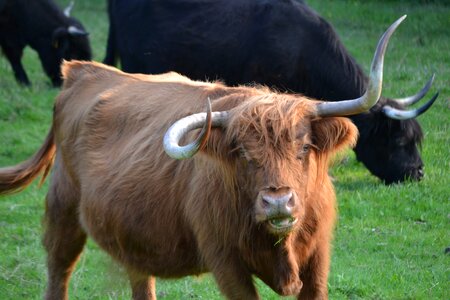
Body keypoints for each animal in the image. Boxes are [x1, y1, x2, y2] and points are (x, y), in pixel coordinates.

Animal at [0, 18, 418, 298]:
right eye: (244, 155)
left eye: (303, 149)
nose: (278, 202)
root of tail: (81, 72)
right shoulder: (226, 261)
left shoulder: (318, 259)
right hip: (63, 208)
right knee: (59, 269)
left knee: (139, 278)